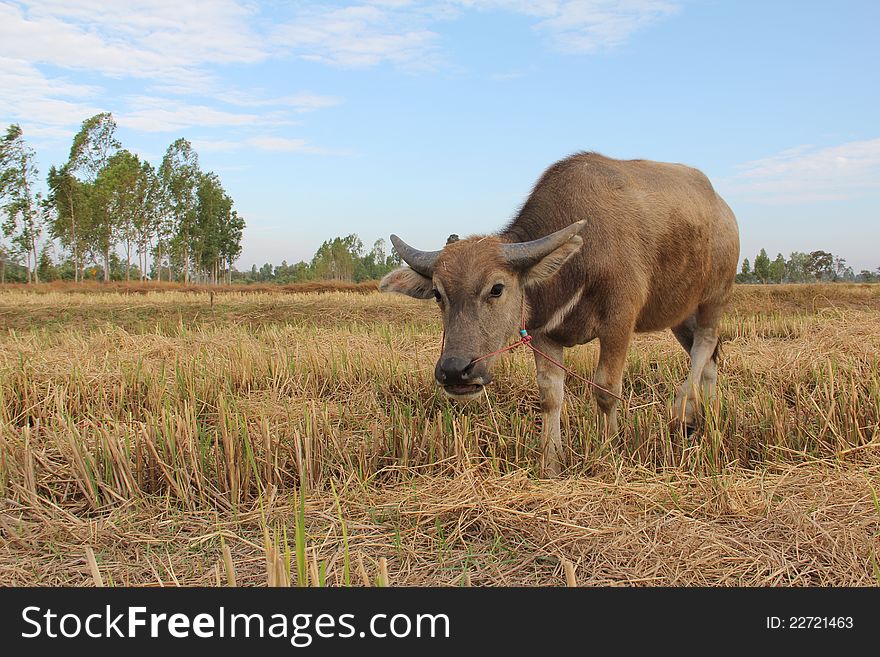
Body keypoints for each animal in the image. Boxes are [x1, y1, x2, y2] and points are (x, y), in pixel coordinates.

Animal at [382, 151, 740, 474]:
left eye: (496, 288)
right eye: (438, 294)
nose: (455, 371)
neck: (578, 260)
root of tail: (725, 213)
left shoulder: (619, 321)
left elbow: (606, 389)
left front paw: (609, 452)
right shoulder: (544, 334)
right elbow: (549, 395)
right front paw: (550, 463)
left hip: (714, 297)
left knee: (705, 345)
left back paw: (683, 412)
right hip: (681, 314)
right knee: (710, 358)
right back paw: (708, 416)